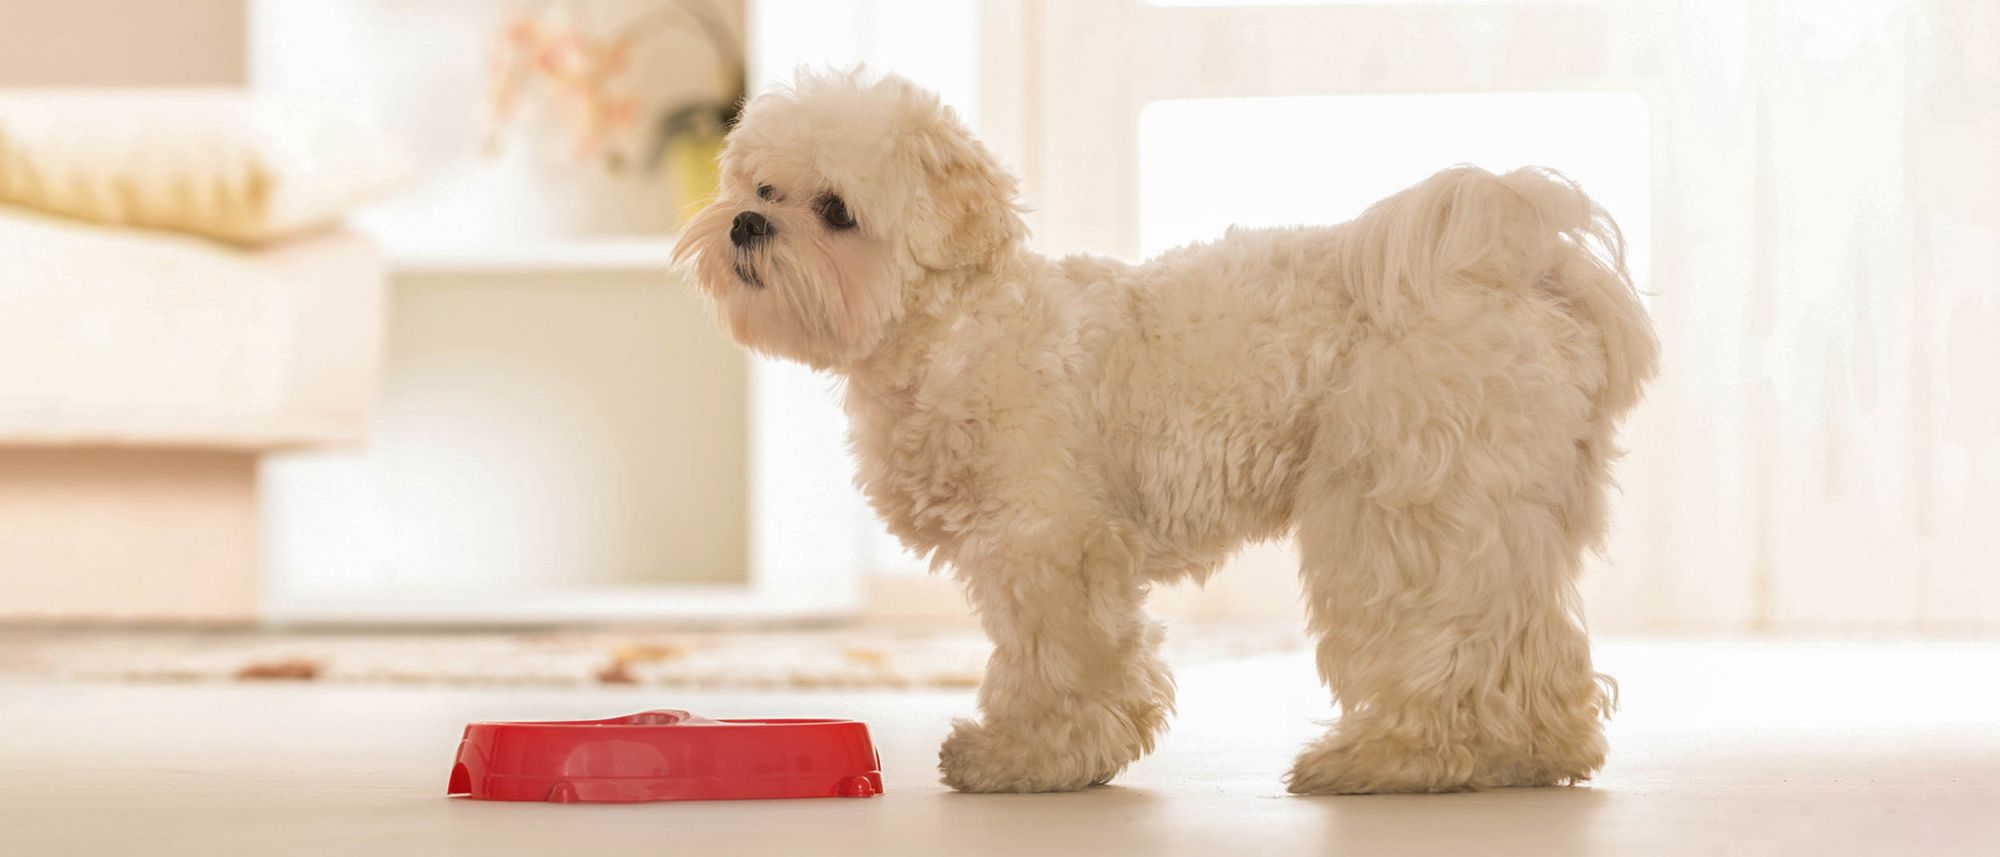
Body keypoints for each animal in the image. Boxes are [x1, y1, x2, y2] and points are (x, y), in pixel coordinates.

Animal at [672, 72, 1656, 796]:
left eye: (835, 210)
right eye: (761, 186)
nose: (747, 222)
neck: (958, 325)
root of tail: (1523, 267)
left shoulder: (1049, 540)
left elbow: (1059, 655)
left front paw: (1030, 756)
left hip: (1402, 507)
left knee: (1443, 637)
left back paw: (1397, 759)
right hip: (1498, 509)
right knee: (1529, 640)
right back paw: (1533, 752)